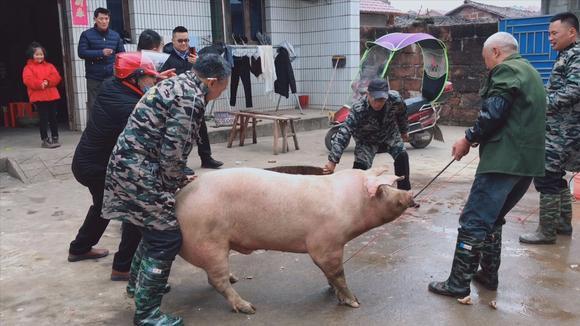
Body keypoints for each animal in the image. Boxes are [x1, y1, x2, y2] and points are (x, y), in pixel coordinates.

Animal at [174, 167, 414, 314]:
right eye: (383, 190)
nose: (410, 194)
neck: (350, 205)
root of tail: (179, 199)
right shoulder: (325, 244)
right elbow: (337, 273)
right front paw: (354, 302)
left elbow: (331, 274)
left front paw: (334, 292)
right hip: (210, 241)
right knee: (217, 280)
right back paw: (248, 308)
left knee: (213, 278)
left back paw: (235, 279)